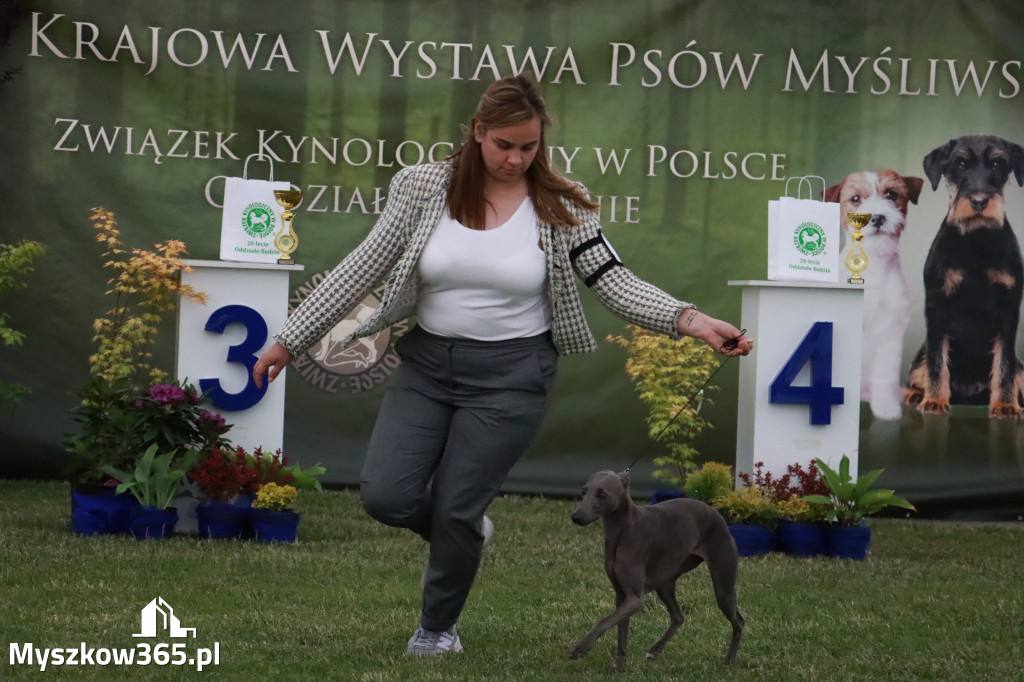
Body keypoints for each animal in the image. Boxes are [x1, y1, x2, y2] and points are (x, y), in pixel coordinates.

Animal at [569, 471, 745, 667]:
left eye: (602, 494)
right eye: (583, 491)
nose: (575, 517)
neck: (623, 529)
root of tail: (715, 512)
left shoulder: (635, 599)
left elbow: (604, 621)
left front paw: (581, 648)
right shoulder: (622, 596)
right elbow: (621, 630)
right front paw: (620, 664)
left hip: (723, 586)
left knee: (738, 621)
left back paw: (729, 659)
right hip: (665, 583)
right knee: (678, 617)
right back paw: (655, 650)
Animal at [905, 133, 1024, 417]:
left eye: (997, 164)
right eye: (960, 164)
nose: (979, 202)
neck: (975, 239)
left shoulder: (1009, 310)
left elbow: (1004, 365)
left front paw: (1005, 404)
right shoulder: (937, 308)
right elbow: (937, 362)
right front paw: (935, 400)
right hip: (920, 356)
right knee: (918, 372)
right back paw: (916, 395)